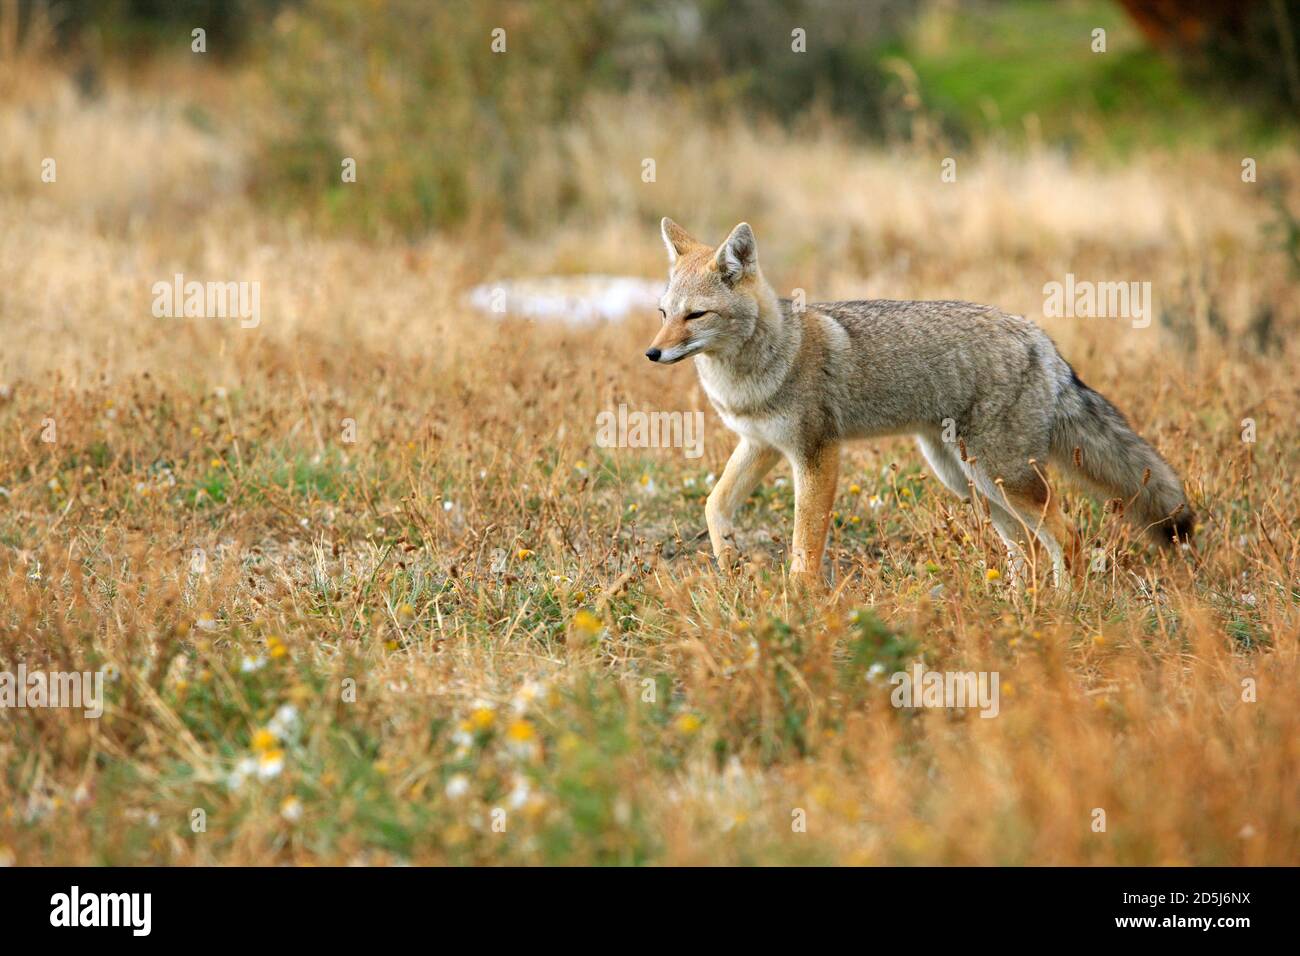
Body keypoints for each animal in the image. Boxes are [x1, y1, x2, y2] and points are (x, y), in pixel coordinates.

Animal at [646, 217, 1194, 585]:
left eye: (695, 315)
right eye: (663, 312)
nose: (652, 353)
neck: (751, 371)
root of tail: (1039, 338)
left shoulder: (816, 453)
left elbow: (805, 540)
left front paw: (798, 602)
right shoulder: (760, 445)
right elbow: (715, 504)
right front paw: (730, 561)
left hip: (1003, 477)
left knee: (1069, 535)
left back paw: (1062, 607)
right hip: (971, 480)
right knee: (1027, 547)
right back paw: (1016, 607)